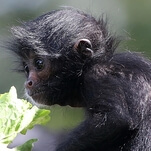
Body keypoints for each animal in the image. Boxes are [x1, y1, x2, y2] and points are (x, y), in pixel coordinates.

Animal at [9, 7, 151, 151]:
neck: (90, 65)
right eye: (26, 68)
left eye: (39, 64)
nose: (28, 83)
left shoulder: (98, 75)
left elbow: (117, 120)